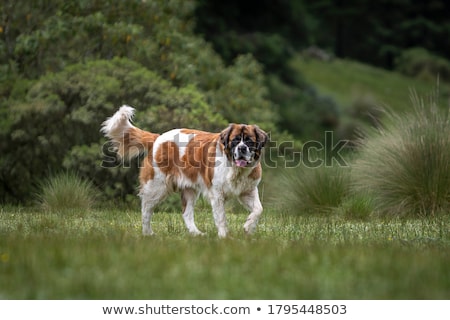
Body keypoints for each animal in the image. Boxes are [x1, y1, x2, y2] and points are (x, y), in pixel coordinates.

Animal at [102, 105, 268, 238]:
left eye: (249, 141)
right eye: (235, 140)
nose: (242, 148)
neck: (236, 169)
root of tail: (158, 138)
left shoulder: (248, 191)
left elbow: (259, 209)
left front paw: (248, 227)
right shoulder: (217, 194)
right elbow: (221, 218)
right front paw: (224, 237)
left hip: (189, 190)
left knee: (186, 213)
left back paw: (196, 234)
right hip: (157, 187)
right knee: (146, 209)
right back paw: (147, 233)